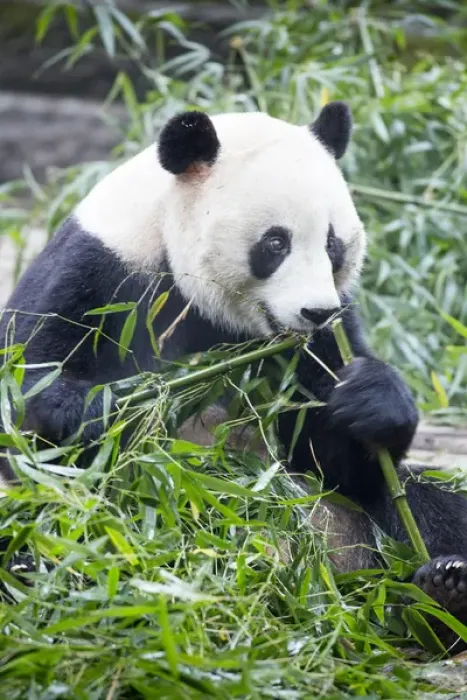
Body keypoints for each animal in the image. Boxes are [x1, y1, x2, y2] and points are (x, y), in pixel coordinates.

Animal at [1, 102, 467, 649]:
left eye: (333, 244)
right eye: (276, 243)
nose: (315, 312)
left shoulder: (319, 343)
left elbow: (336, 452)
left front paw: (369, 398)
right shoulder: (96, 276)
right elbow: (31, 406)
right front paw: (119, 409)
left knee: (429, 504)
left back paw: (441, 589)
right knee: (53, 537)